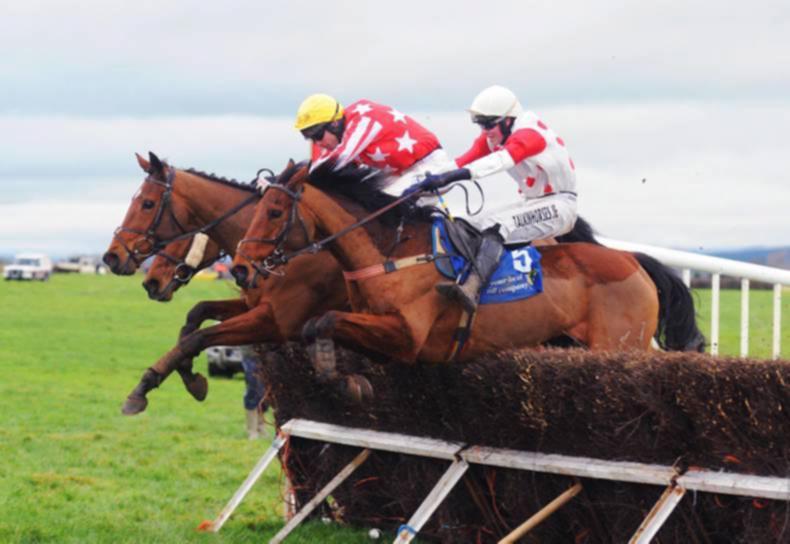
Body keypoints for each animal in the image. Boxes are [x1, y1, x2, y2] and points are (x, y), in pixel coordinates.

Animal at [103, 152, 347, 414]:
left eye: (147, 204)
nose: (112, 257)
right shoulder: (251, 305)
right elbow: (197, 314)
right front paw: (187, 373)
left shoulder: (277, 321)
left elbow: (199, 337)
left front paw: (145, 387)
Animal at [230, 161, 700, 400]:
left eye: (274, 211)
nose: (239, 268)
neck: (388, 256)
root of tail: (633, 261)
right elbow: (317, 325)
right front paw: (339, 374)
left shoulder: (408, 337)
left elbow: (322, 321)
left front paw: (339, 377)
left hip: (618, 344)